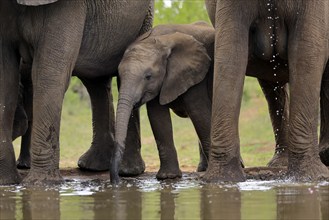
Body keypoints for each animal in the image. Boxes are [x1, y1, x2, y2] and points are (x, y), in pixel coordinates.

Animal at [0, 0, 153, 185]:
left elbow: (48, 75)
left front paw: (41, 184)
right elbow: (5, 77)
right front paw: (6, 181)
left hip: (144, 18)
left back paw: (127, 171)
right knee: (95, 81)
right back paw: (95, 166)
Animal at [109, 21, 213, 182]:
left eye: (148, 76)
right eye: (119, 76)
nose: (117, 180)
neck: (162, 41)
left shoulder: (194, 74)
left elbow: (199, 112)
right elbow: (157, 116)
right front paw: (168, 177)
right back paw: (202, 168)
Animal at [204, 0, 328, 181]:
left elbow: (306, 52)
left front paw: (310, 178)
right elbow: (229, 53)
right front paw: (222, 180)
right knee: (273, 89)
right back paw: (280, 163)